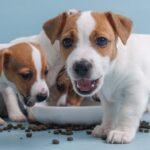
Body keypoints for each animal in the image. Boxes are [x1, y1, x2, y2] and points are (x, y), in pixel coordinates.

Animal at [41, 9, 150, 144]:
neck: (110, 73)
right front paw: (106, 128)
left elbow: (127, 112)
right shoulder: (107, 98)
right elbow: (109, 113)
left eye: (102, 40)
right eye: (67, 41)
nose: (81, 66)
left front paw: (121, 132)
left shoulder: (135, 90)